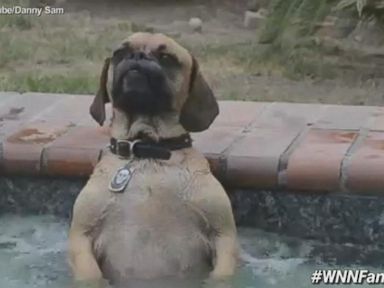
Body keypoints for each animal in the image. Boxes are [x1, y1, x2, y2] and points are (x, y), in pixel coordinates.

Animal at [68, 33, 237, 286]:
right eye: (120, 53)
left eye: (166, 57)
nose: (137, 56)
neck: (148, 152)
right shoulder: (82, 234)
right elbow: (90, 274)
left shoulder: (223, 235)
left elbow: (222, 273)